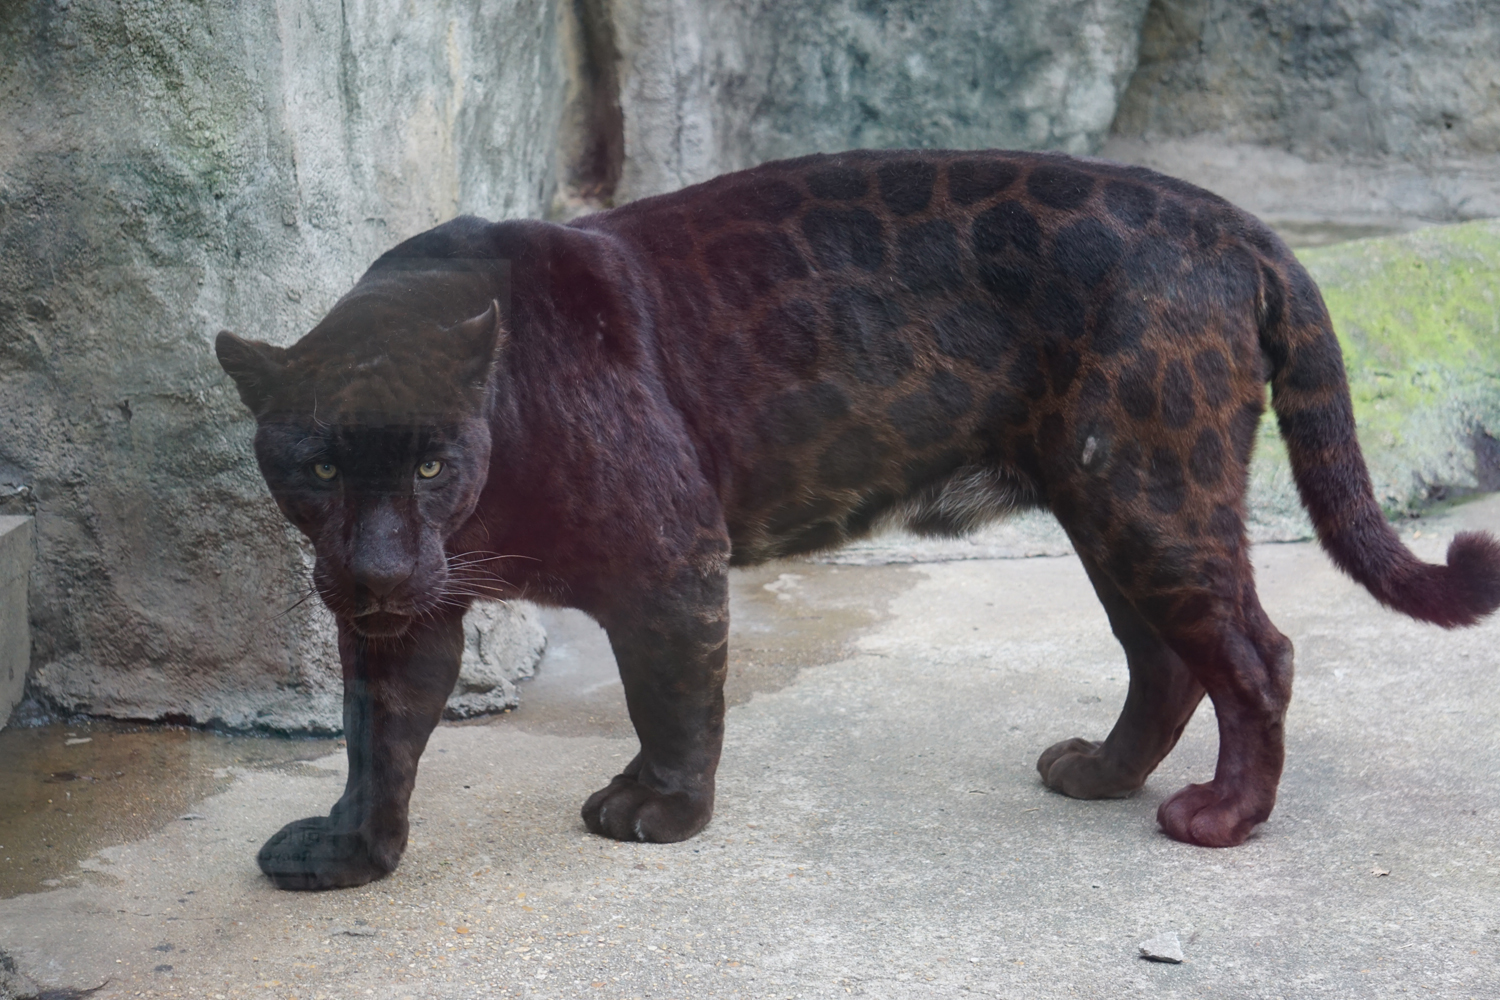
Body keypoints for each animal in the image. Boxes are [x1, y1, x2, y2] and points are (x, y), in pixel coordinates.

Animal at [217, 148, 1500, 890]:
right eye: (316, 466)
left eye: (434, 460)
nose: (380, 566)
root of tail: (1239, 225)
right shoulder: (404, 616)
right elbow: (381, 733)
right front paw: (350, 851)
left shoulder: (668, 557)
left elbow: (670, 694)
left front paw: (660, 811)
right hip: (1108, 506)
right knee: (1168, 657)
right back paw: (1099, 772)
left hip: (1152, 493)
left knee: (1253, 652)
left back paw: (1222, 818)